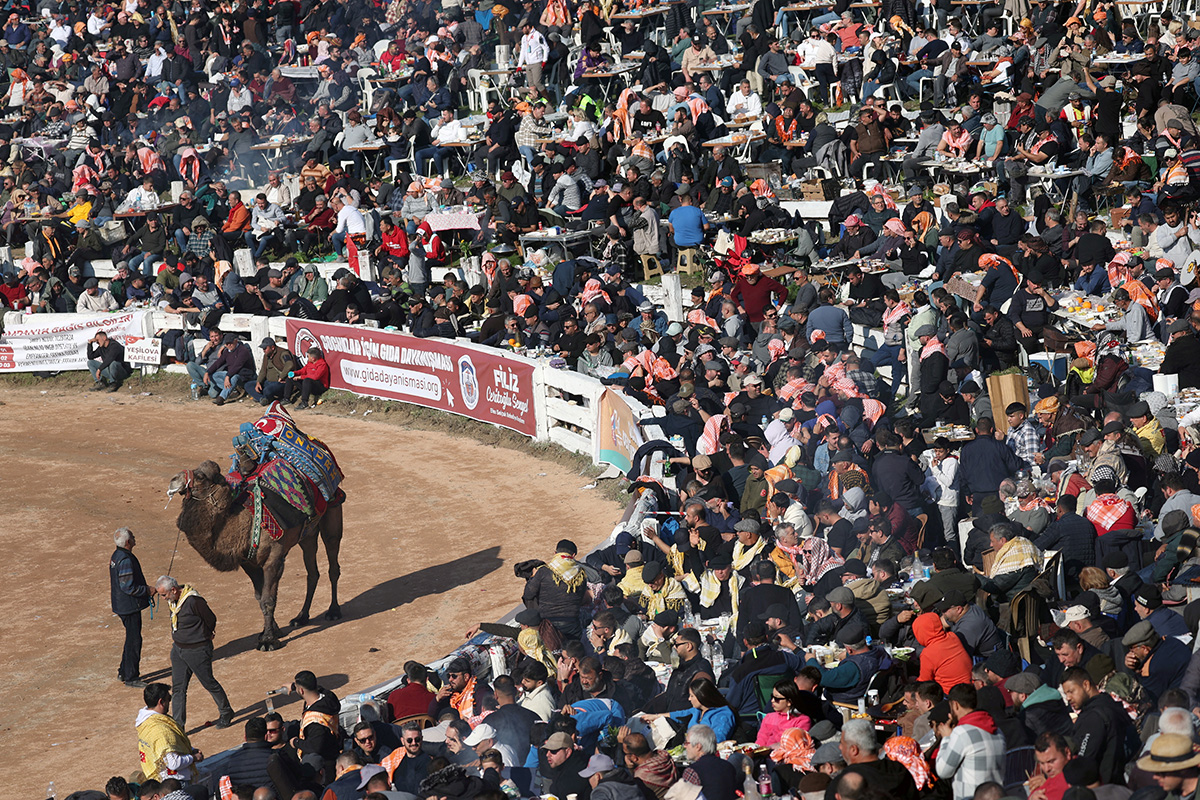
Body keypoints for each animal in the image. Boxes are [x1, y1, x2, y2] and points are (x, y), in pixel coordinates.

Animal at [166, 455, 343, 652]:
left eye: (201, 476)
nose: (173, 480)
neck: (246, 523)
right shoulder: (249, 564)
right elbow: (259, 597)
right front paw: (273, 631)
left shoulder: (274, 558)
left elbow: (268, 599)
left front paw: (268, 641)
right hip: (308, 534)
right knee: (312, 571)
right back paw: (301, 617)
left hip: (333, 513)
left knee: (333, 562)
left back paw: (334, 611)